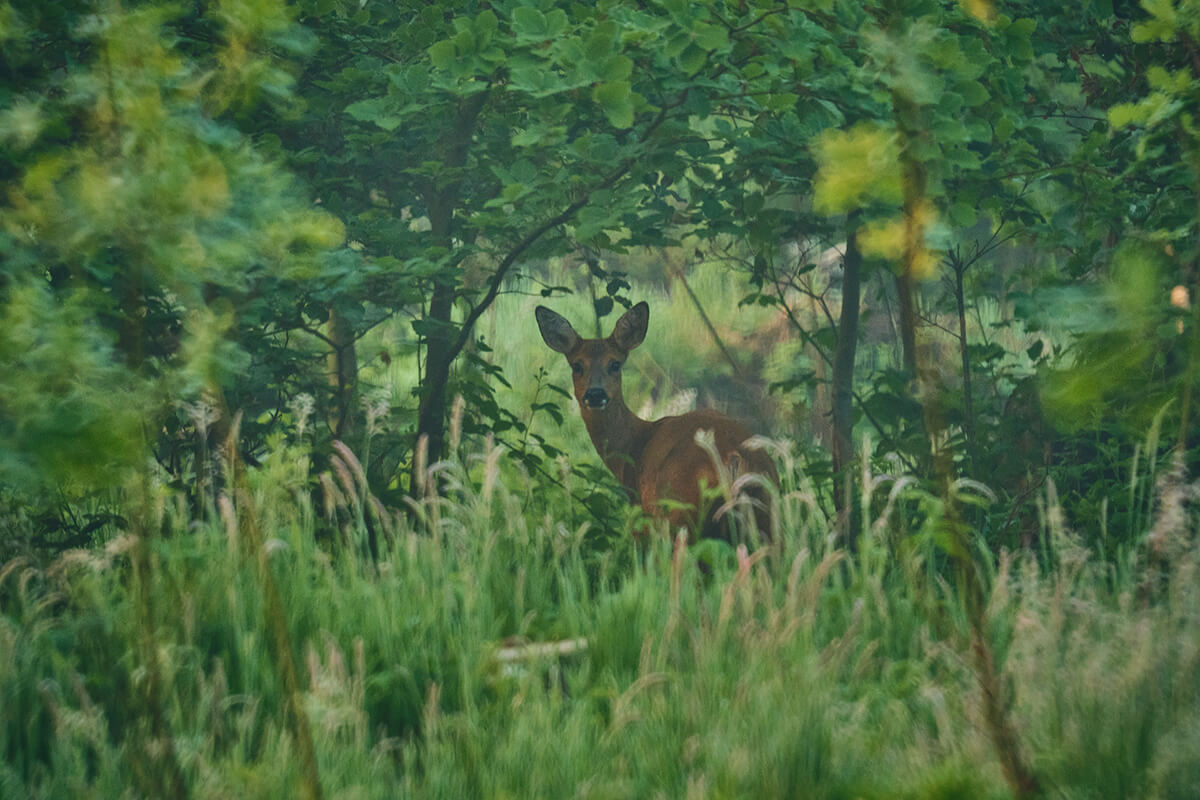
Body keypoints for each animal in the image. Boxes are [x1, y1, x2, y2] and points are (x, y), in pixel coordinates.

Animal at [535, 302, 777, 544]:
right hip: (766, 517)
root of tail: (735, 457)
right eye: (577, 365)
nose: (595, 394)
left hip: (679, 516)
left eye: (614, 364)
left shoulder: (639, 515)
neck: (634, 445)